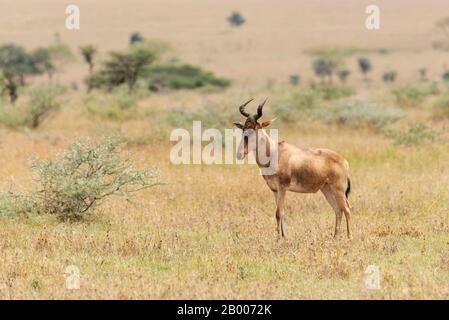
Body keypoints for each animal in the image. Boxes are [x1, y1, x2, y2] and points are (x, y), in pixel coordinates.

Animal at [233, 99, 352, 239]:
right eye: (244, 129)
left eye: (254, 129)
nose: (239, 154)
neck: (275, 152)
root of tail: (344, 161)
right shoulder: (275, 190)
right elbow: (281, 212)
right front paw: (283, 237)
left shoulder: (283, 188)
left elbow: (278, 213)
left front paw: (279, 239)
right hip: (326, 189)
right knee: (337, 210)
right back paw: (335, 237)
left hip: (338, 189)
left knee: (347, 209)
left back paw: (349, 238)